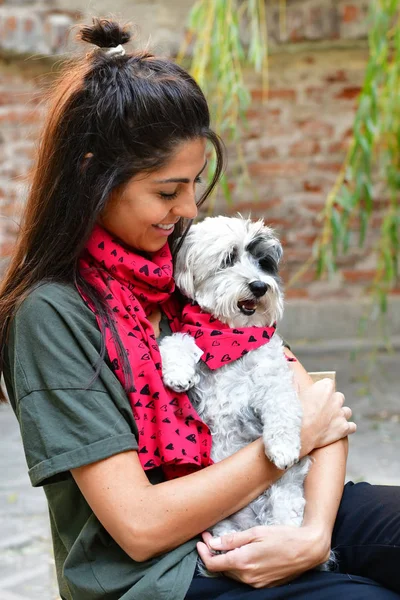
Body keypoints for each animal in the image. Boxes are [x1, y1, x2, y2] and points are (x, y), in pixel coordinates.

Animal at [158, 216, 332, 568]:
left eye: (263, 263)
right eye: (228, 259)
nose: (259, 286)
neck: (229, 337)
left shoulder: (274, 380)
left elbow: (282, 408)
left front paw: (282, 448)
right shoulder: (193, 336)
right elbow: (178, 340)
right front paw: (178, 373)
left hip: (283, 504)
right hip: (222, 524)